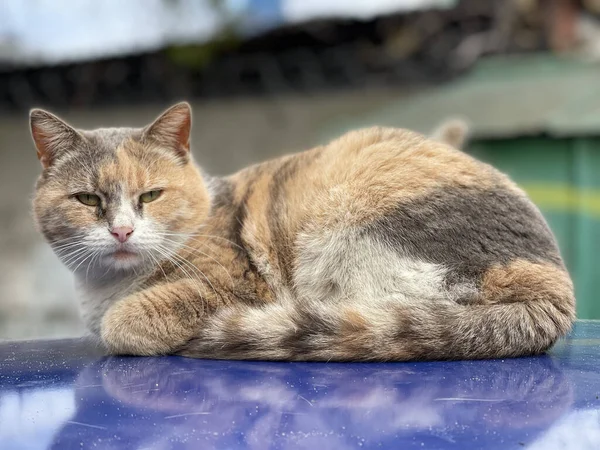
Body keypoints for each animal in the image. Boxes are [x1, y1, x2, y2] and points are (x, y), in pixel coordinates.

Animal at [29, 103, 576, 362]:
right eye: (87, 200)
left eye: (151, 196)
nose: (122, 231)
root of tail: (552, 288)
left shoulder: (233, 286)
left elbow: (123, 324)